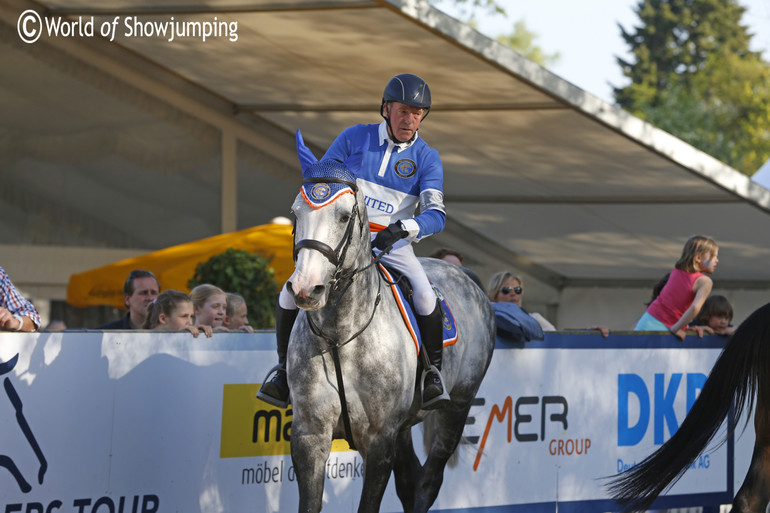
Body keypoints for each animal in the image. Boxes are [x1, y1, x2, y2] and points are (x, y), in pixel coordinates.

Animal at [284, 133, 496, 512]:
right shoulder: (309, 433)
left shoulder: (380, 438)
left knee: (428, 482)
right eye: (295, 213)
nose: (306, 288)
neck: (341, 335)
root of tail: (467, 277)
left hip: (457, 408)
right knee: (410, 480)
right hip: (405, 427)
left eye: (344, 216)